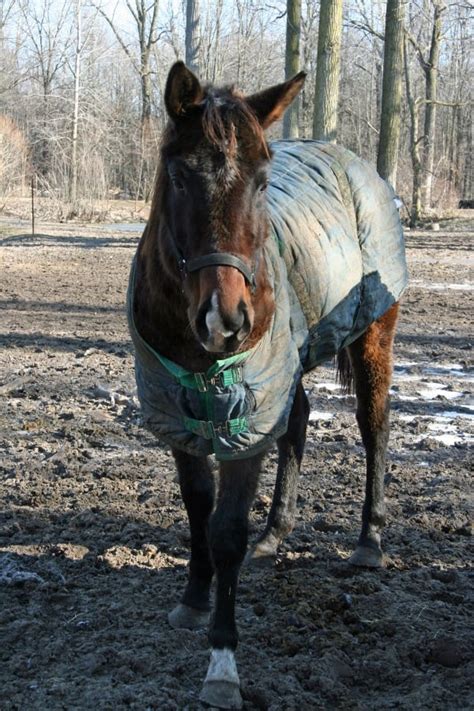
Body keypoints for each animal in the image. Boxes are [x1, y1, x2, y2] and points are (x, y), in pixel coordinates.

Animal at [129, 62, 408, 711]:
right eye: (178, 174)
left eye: (261, 181)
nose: (226, 319)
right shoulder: (179, 413)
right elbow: (197, 506)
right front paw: (194, 599)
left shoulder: (245, 421)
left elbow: (226, 529)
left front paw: (222, 663)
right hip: (291, 359)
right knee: (299, 423)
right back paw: (275, 534)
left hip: (372, 334)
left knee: (375, 427)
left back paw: (369, 542)